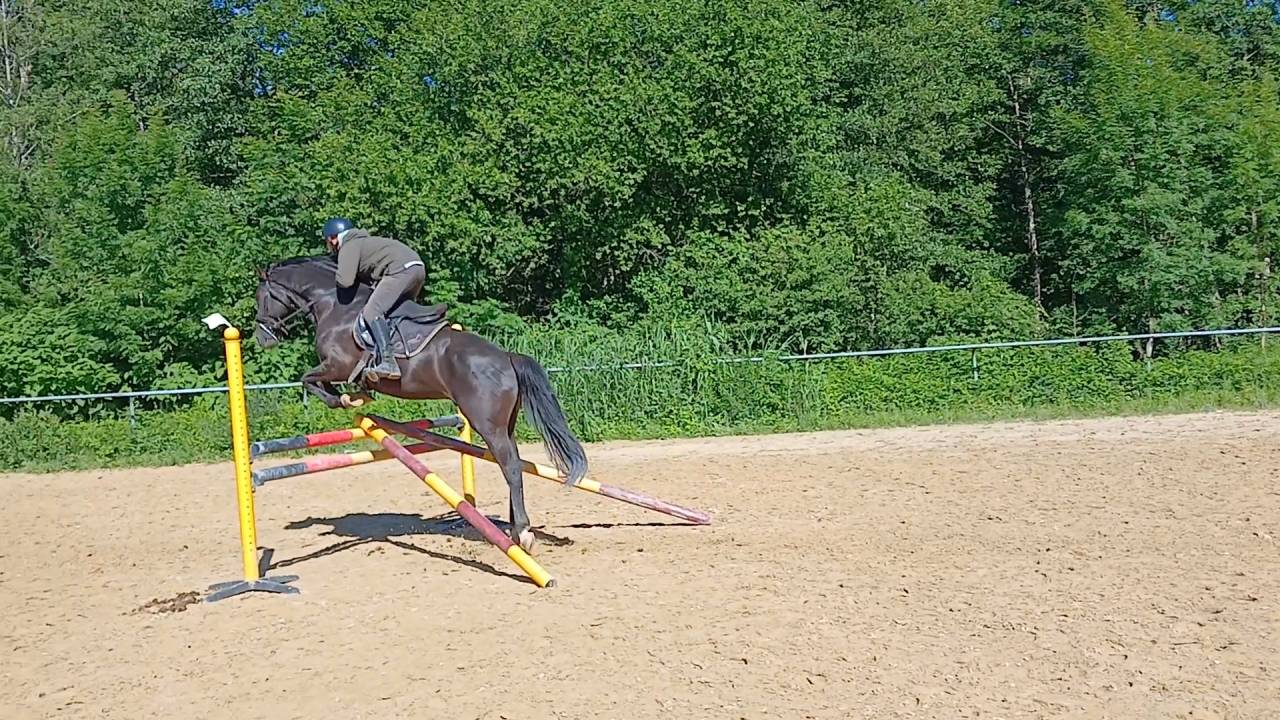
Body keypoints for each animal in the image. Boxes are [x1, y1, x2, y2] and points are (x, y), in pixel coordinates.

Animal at [251, 255, 588, 552]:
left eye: (261, 297)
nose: (262, 338)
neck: (333, 305)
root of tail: (507, 357)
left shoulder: (336, 365)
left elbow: (309, 379)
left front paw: (346, 398)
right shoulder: (335, 368)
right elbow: (316, 381)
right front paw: (357, 395)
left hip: (487, 425)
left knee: (511, 467)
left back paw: (523, 533)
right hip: (506, 424)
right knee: (513, 463)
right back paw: (513, 528)